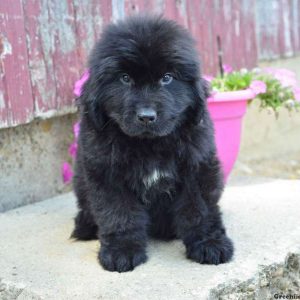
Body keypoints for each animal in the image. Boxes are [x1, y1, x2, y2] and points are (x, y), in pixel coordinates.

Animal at [71, 15, 233, 274]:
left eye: (167, 78)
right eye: (124, 78)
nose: (146, 116)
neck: (149, 146)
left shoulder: (197, 167)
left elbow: (201, 209)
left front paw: (210, 243)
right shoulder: (106, 173)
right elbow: (119, 213)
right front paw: (122, 251)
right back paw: (84, 225)